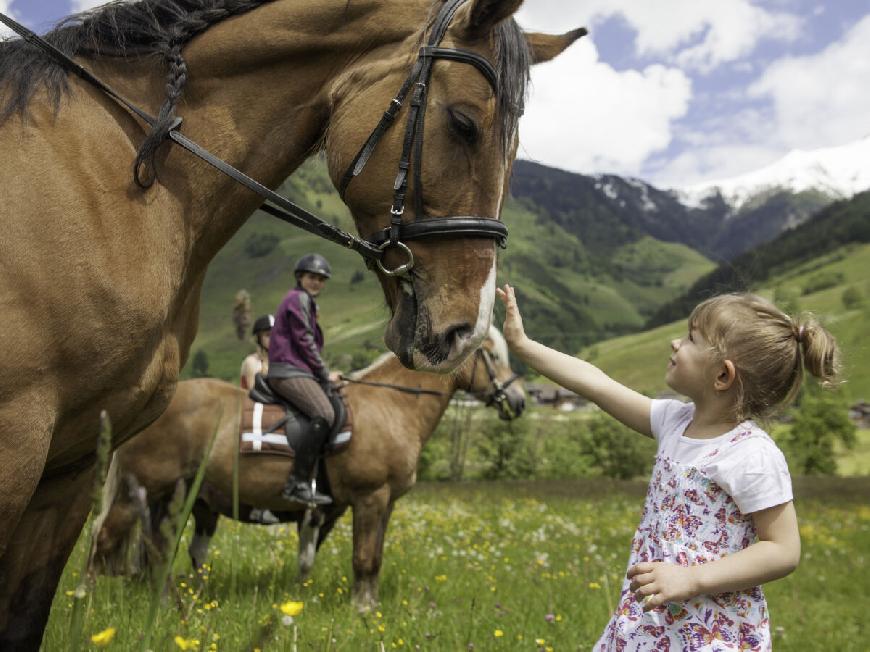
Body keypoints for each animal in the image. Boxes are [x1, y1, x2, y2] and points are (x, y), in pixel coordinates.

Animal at [93, 328, 524, 608]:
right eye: (492, 355)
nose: (518, 401)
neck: (389, 406)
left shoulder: (385, 504)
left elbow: (374, 557)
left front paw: (368, 605)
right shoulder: (369, 498)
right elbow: (363, 557)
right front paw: (361, 610)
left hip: (172, 498)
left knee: (155, 548)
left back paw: (164, 601)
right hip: (138, 493)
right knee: (106, 539)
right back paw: (90, 600)